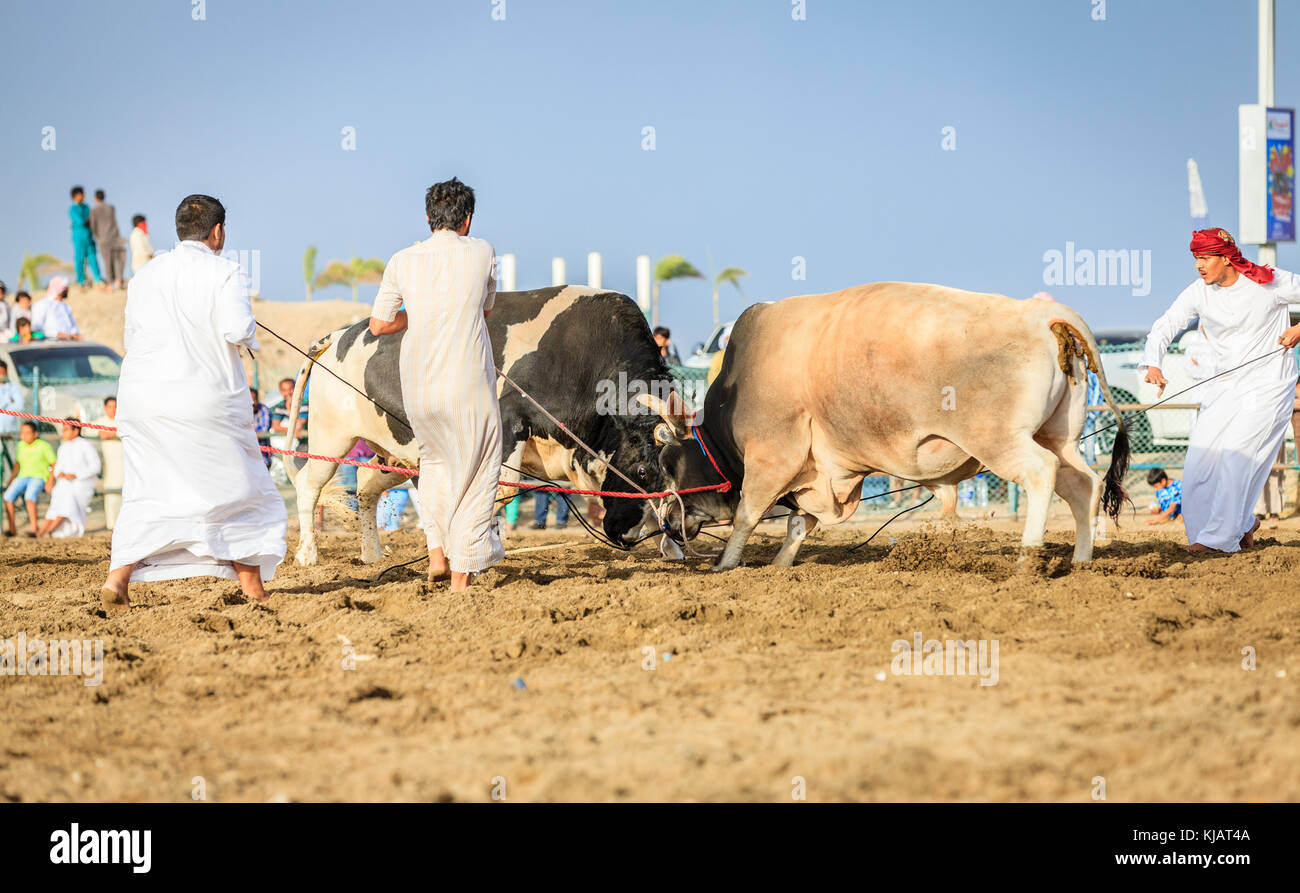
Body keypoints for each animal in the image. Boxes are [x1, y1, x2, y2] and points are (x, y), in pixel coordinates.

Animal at [282, 285, 670, 566]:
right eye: (641, 471)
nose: (627, 537)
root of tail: (341, 334)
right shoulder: (509, 422)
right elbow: (501, 491)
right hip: (331, 436)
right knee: (309, 484)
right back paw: (308, 554)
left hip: (398, 452)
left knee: (365, 483)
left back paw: (372, 554)